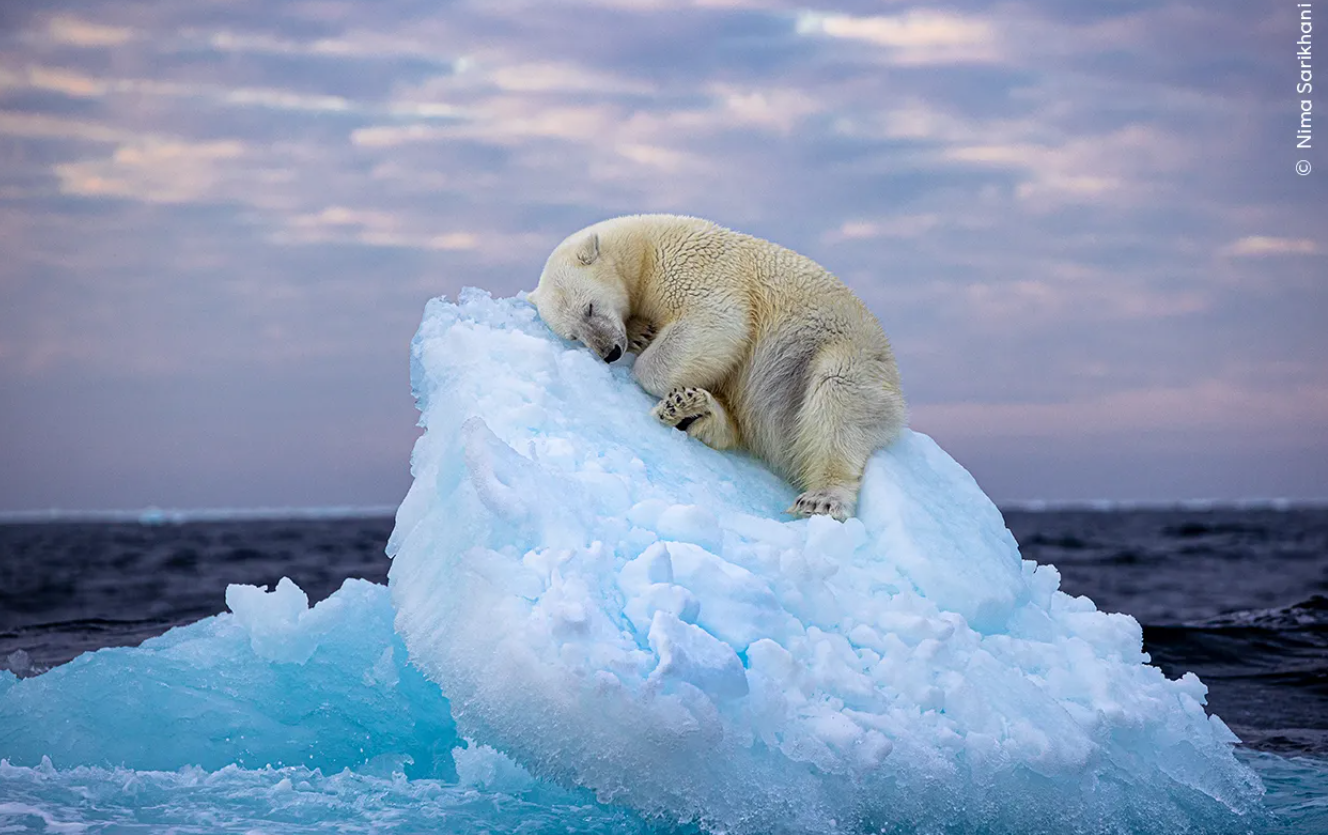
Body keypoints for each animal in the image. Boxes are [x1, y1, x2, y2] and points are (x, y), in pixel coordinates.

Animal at [523, 213, 908, 520]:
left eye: (589, 307)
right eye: (573, 335)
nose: (609, 352)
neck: (644, 247)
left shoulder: (693, 266)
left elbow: (718, 322)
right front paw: (640, 333)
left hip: (839, 354)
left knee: (836, 402)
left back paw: (821, 499)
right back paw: (692, 410)